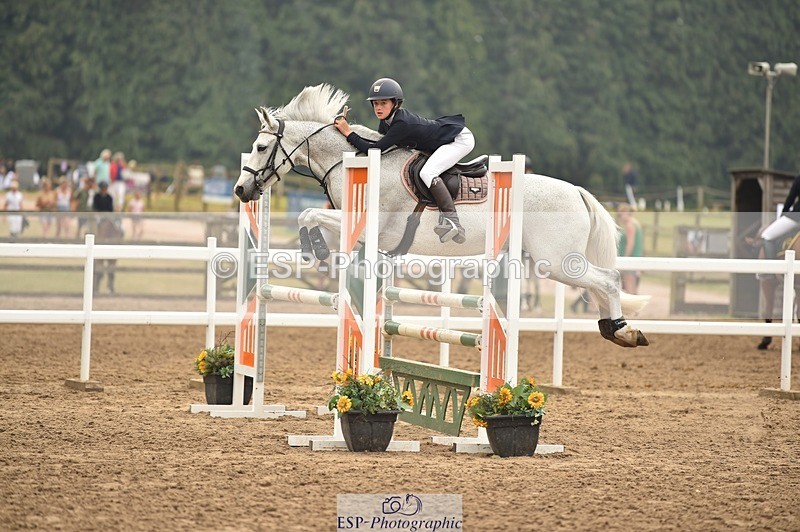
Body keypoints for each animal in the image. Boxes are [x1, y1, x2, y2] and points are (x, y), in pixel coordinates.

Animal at [234, 84, 649, 348]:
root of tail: (577, 191)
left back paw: (623, 331)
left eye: (260, 147)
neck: (353, 161)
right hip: (556, 262)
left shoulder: (368, 226)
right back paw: (613, 327)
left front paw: (316, 248)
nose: (240, 191)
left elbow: (307, 214)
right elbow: (308, 216)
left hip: (558, 261)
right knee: (599, 285)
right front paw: (314, 249)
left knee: (609, 279)